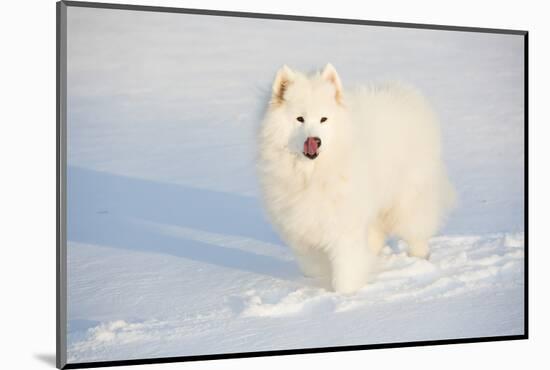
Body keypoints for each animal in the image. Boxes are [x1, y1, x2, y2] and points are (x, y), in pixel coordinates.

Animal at [258, 64, 458, 294]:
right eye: (300, 119)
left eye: (323, 119)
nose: (315, 140)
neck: (312, 174)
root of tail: (409, 95)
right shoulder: (302, 225)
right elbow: (313, 261)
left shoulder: (344, 224)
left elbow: (346, 266)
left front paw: (346, 294)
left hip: (407, 200)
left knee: (416, 231)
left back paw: (419, 259)